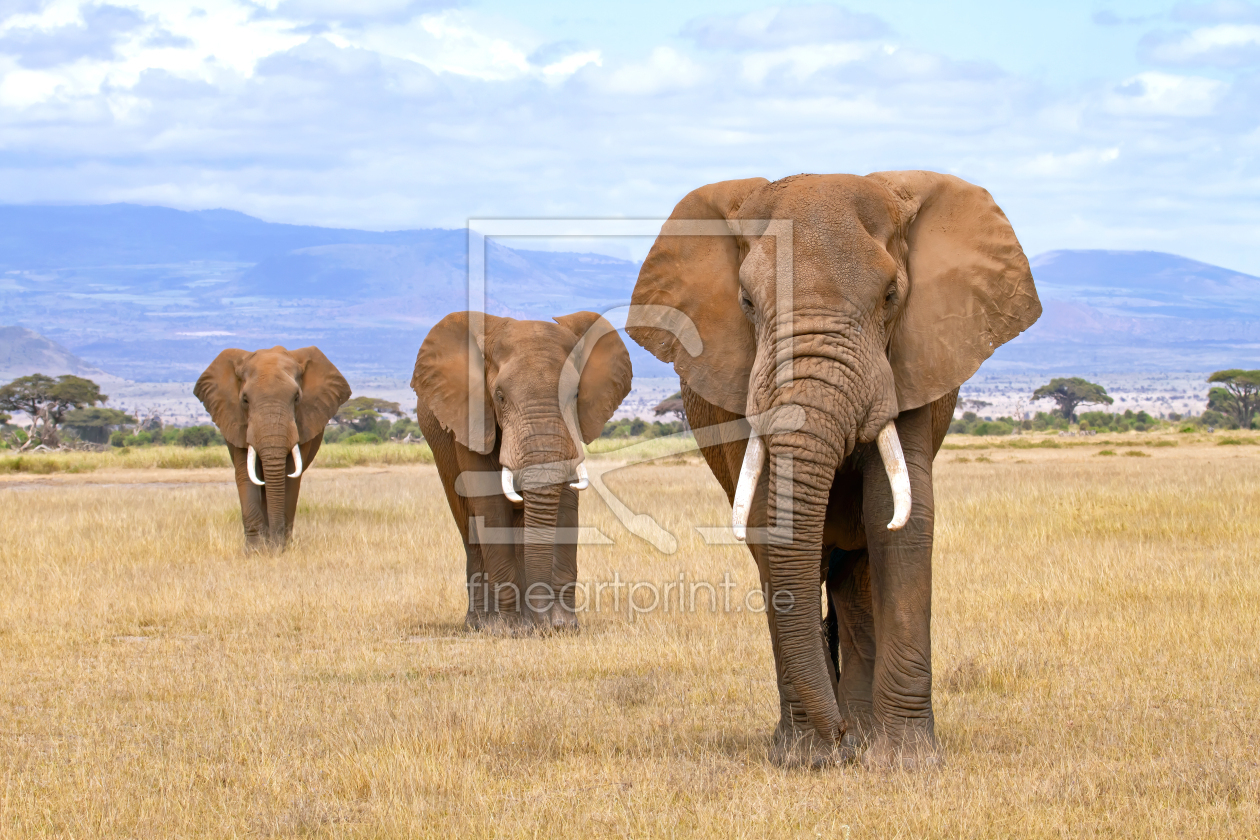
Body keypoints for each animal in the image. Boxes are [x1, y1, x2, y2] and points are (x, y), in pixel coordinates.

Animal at [192, 342, 350, 549]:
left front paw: (279, 548)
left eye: (297, 398)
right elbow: (246, 474)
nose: (276, 545)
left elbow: (288, 475)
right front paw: (256, 550)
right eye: (245, 400)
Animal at [410, 312, 630, 634]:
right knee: (470, 528)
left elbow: (565, 502)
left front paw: (562, 626)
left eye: (575, 394)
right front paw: (511, 630)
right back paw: (480, 624)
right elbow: (489, 505)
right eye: (499, 397)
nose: (542, 625)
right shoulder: (472, 417)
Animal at [624, 171, 1038, 770]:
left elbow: (897, 513)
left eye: (891, 297)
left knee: (856, 577)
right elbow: (771, 522)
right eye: (746, 302)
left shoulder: (912, 359)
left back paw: (862, 735)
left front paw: (903, 763)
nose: (836, 735)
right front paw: (808, 759)